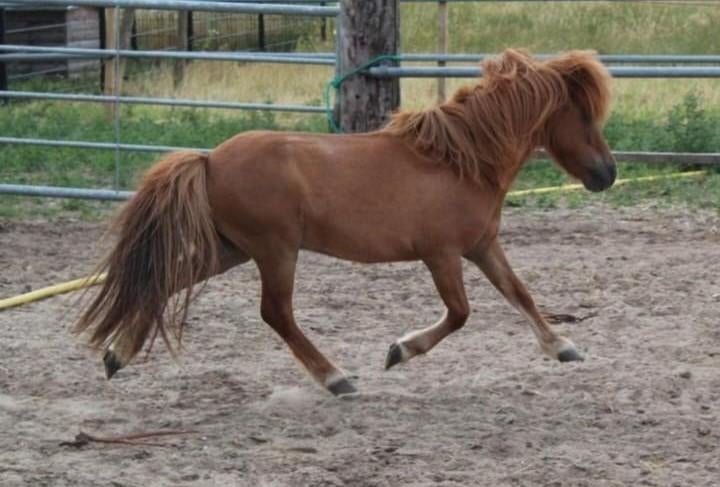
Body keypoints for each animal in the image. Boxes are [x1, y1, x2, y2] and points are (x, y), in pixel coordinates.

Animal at [76, 49, 615, 396]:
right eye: (585, 116)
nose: (608, 174)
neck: (460, 161)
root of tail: (209, 160)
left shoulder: (482, 246)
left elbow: (519, 292)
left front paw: (563, 347)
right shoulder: (441, 255)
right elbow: (461, 313)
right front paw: (399, 351)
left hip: (232, 249)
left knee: (167, 280)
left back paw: (117, 355)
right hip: (274, 251)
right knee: (276, 314)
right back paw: (337, 379)